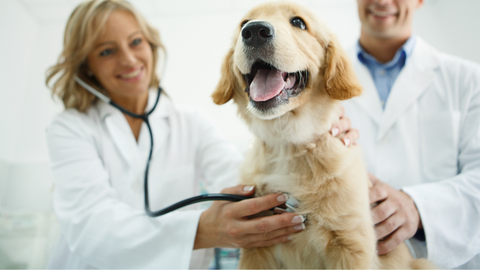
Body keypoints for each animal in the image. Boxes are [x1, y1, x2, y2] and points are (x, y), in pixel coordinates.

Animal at [212, 1, 436, 268]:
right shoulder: (256, 246)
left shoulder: (352, 246)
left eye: (298, 23)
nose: (254, 31)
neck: (287, 144)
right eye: (243, 24)